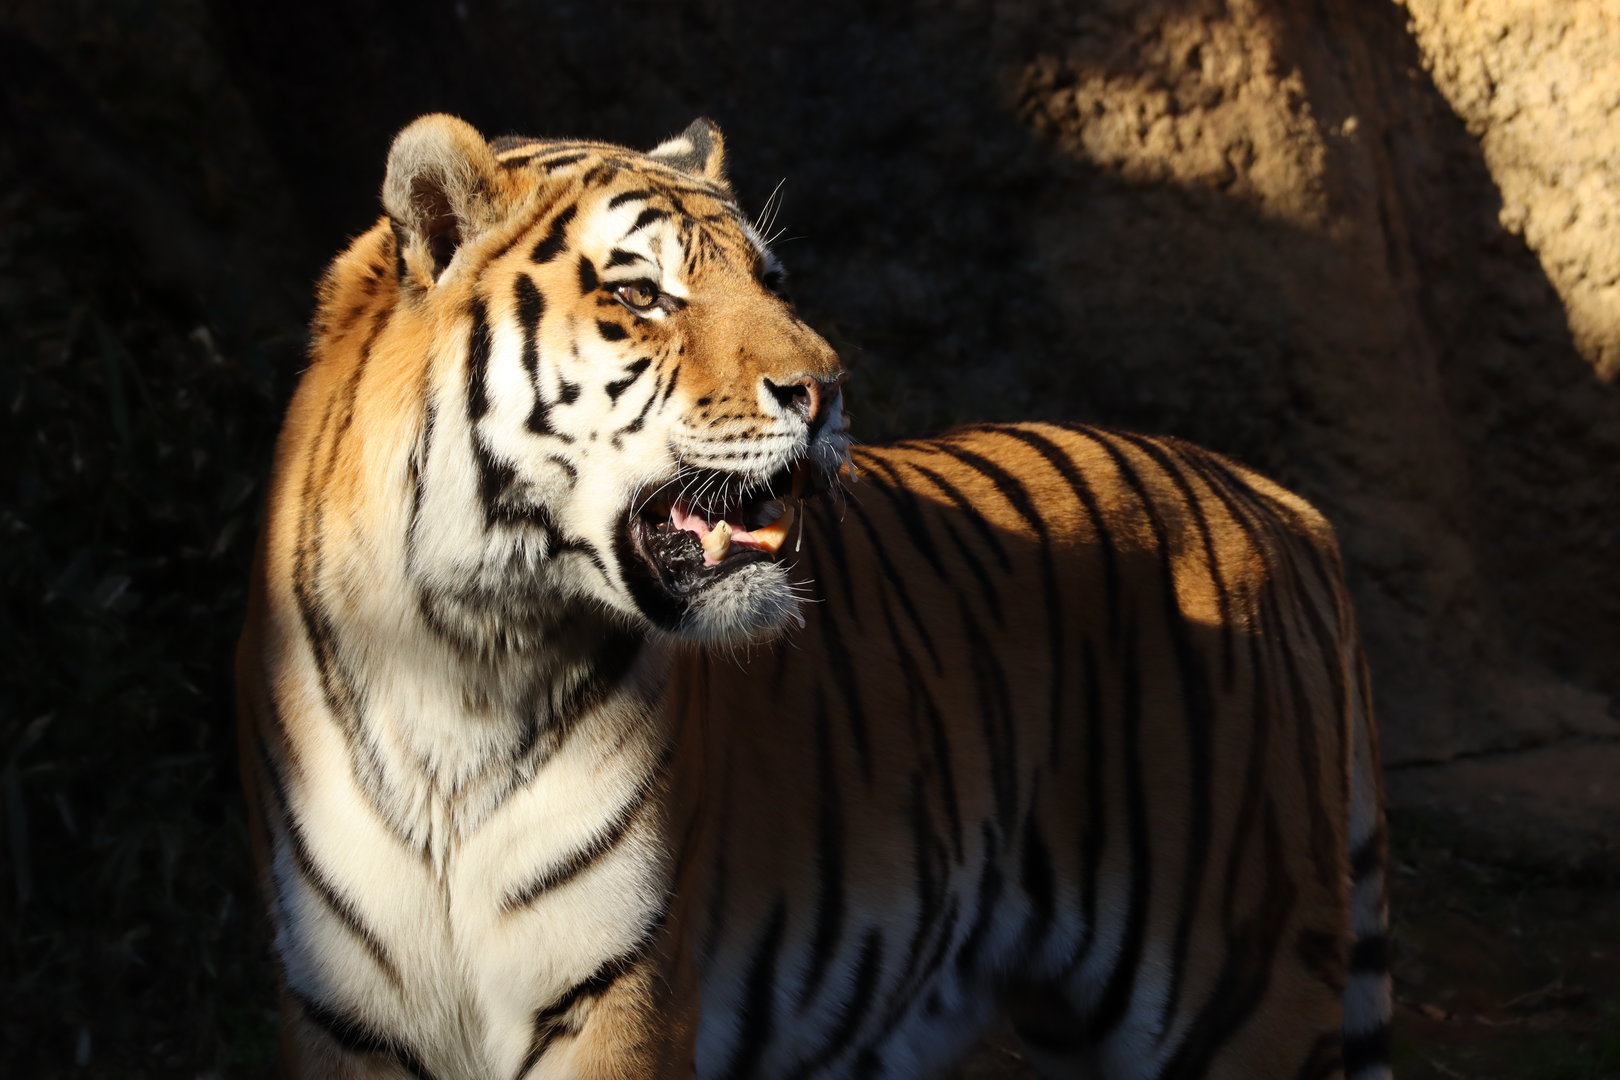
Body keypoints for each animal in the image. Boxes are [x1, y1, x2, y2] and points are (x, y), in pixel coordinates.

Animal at [235, 112, 1392, 1080]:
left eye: (773, 279)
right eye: (640, 295)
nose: (828, 390)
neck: (466, 651)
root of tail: (1277, 501)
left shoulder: (620, 993)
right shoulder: (340, 1010)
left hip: (1239, 997)